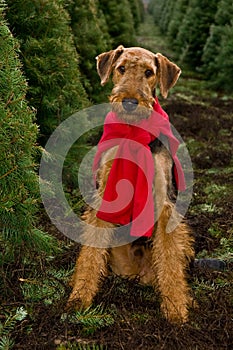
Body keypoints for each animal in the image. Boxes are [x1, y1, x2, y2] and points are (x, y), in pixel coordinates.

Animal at [68, 45, 195, 324]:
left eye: (149, 72)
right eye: (121, 68)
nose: (129, 101)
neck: (132, 131)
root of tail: (139, 274)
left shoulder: (164, 200)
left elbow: (169, 262)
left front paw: (175, 310)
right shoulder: (104, 193)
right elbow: (90, 256)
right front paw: (79, 298)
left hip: (182, 238)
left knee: (172, 260)